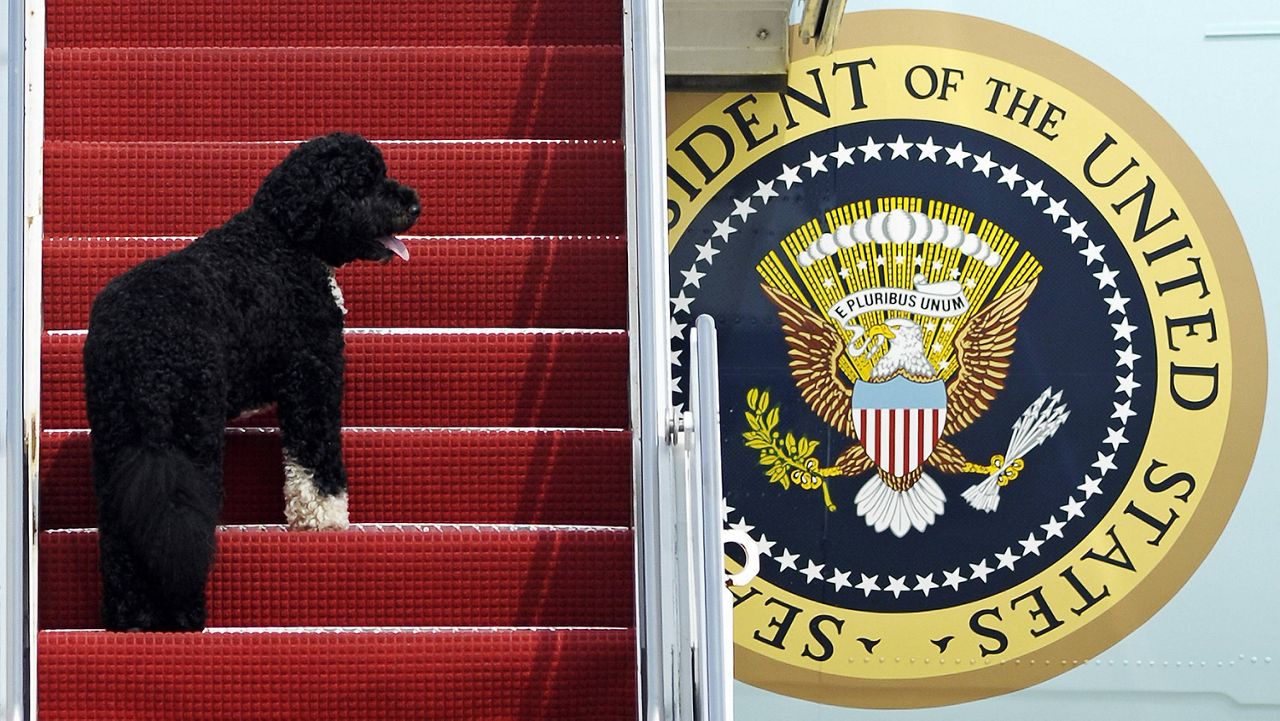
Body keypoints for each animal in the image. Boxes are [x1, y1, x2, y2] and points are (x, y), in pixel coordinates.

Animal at [83, 132, 419, 630]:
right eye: (365, 182)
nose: (414, 204)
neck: (285, 238)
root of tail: (143, 351)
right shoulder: (312, 374)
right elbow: (315, 461)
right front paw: (325, 519)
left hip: (116, 436)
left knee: (123, 532)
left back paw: (130, 616)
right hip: (193, 433)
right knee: (185, 524)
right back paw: (184, 614)